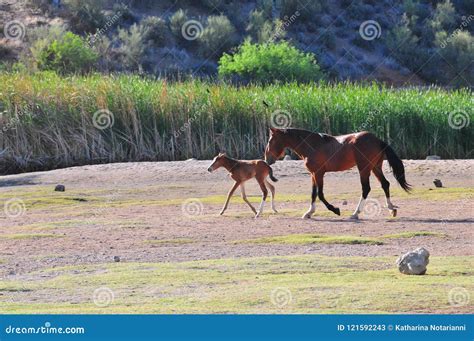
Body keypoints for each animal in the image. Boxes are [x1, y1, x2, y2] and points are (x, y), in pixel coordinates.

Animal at [262, 127, 412, 218]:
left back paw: (355, 213)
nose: (267, 159)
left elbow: (320, 194)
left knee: (366, 188)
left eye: (271, 140)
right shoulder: (313, 174)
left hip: (364, 168)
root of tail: (377, 140)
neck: (311, 145)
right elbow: (313, 194)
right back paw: (391, 208)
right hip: (375, 167)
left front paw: (335, 209)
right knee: (385, 184)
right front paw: (309, 212)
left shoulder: (319, 173)